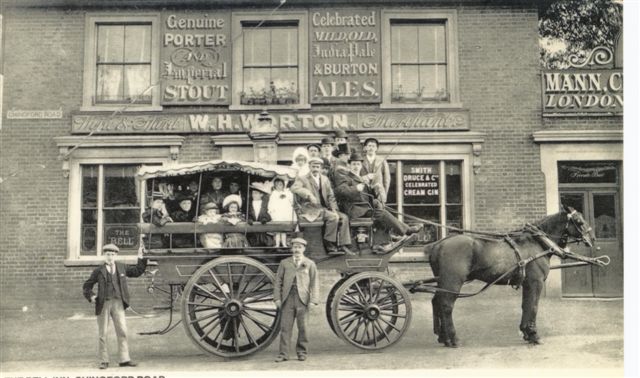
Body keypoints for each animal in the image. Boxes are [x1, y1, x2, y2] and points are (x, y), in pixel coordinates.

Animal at [424, 207, 596, 348]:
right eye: (579, 221)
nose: (592, 239)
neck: (538, 242)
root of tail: (438, 244)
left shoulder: (527, 284)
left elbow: (526, 305)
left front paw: (526, 332)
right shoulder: (536, 282)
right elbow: (533, 306)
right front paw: (534, 335)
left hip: (443, 281)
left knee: (437, 302)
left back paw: (443, 337)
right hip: (453, 281)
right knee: (446, 305)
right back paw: (453, 339)